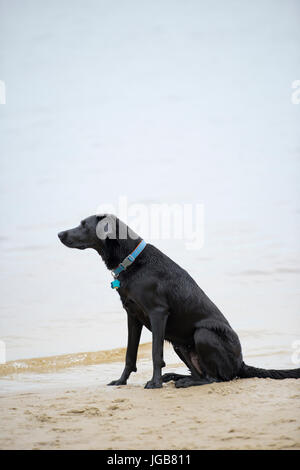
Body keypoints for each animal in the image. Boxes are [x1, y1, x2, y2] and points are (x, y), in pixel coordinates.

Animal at [58, 215, 300, 388]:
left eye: (84, 225)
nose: (59, 233)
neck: (131, 260)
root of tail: (241, 363)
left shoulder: (158, 313)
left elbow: (155, 353)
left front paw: (154, 383)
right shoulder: (132, 315)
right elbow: (129, 354)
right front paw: (121, 381)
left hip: (202, 334)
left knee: (216, 378)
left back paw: (181, 381)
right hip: (179, 343)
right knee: (201, 374)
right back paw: (177, 377)